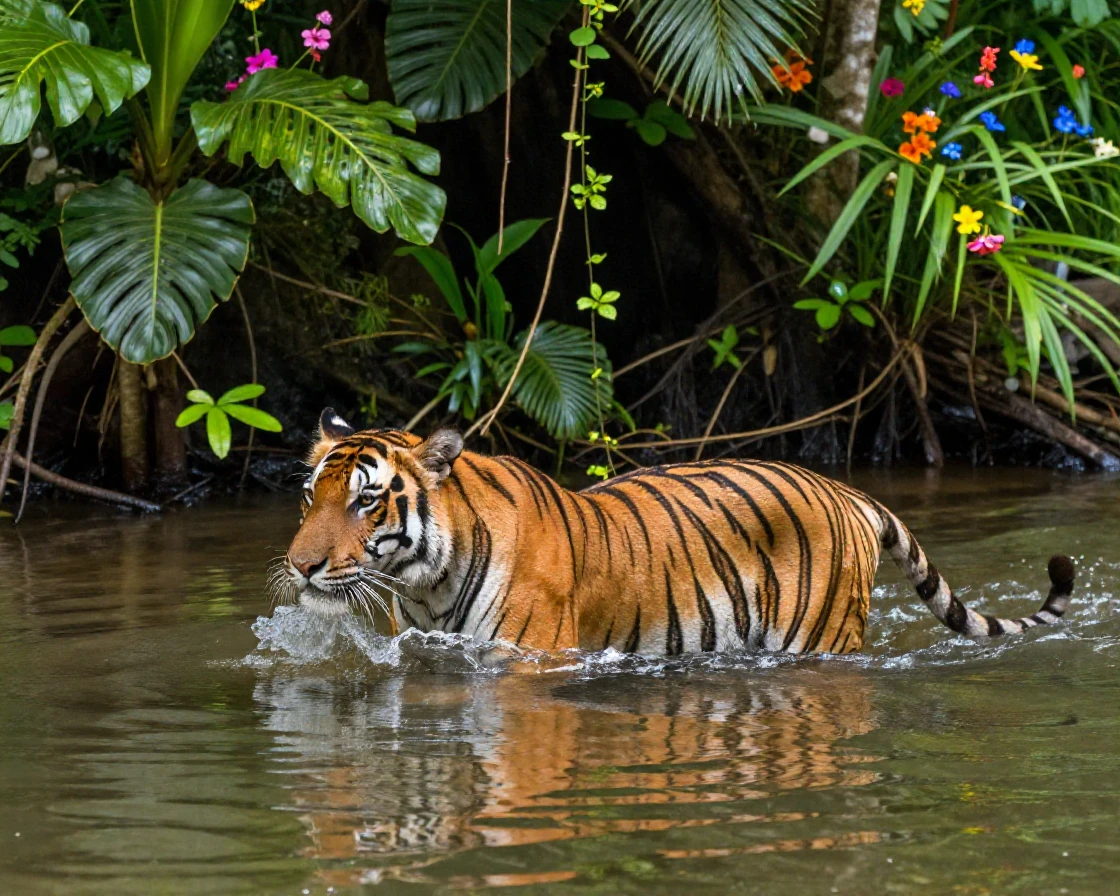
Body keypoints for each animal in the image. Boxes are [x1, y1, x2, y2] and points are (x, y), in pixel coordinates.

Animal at [280, 408, 1075, 655]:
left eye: (366, 502)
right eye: (311, 496)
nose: (300, 567)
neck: (428, 583)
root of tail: (847, 488)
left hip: (819, 637)